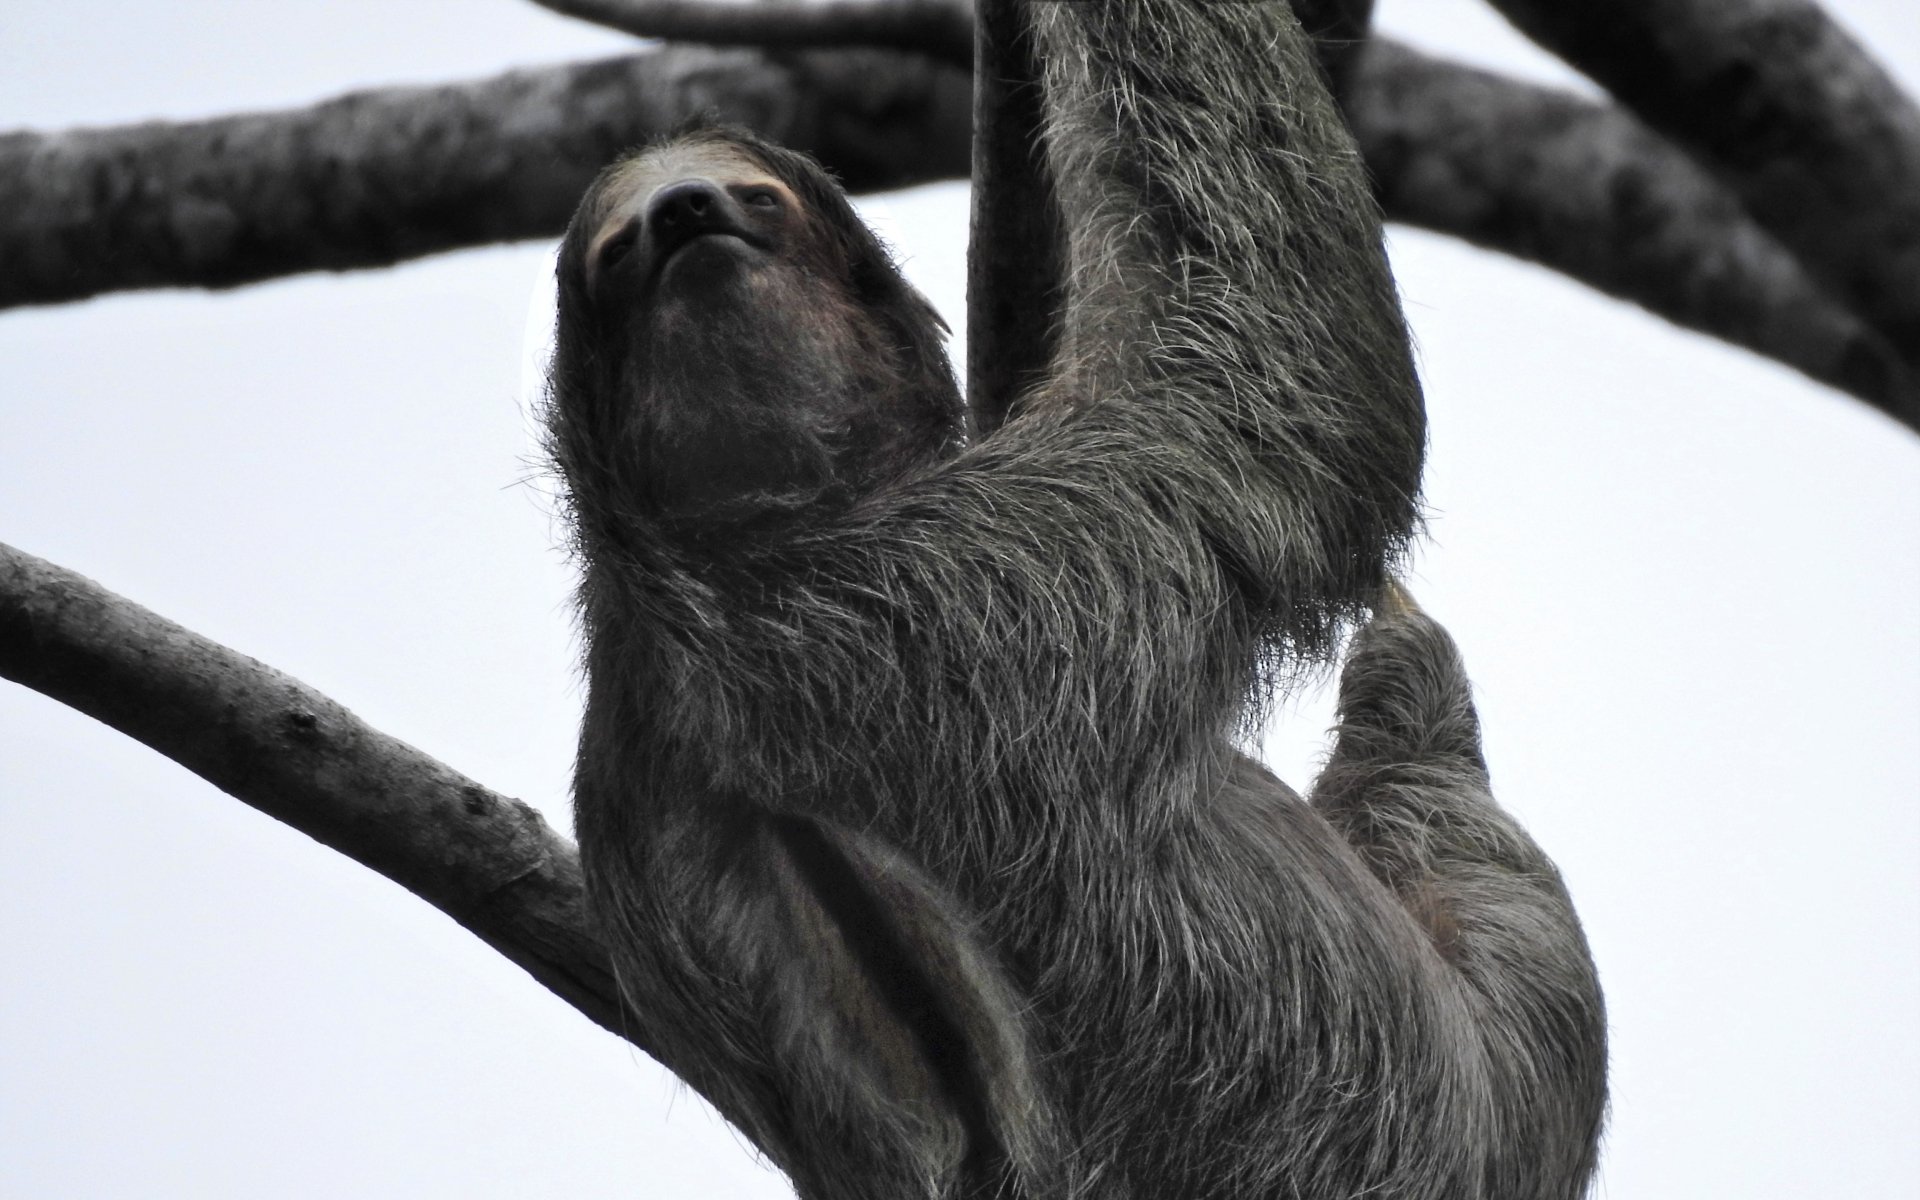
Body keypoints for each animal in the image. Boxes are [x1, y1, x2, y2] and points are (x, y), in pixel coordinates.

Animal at [544, 3, 1606, 1198]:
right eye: (620, 254)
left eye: (754, 199)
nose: (684, 214)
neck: (741, 540)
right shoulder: (971, 594)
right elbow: (1273, 381)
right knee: (1450, 816)